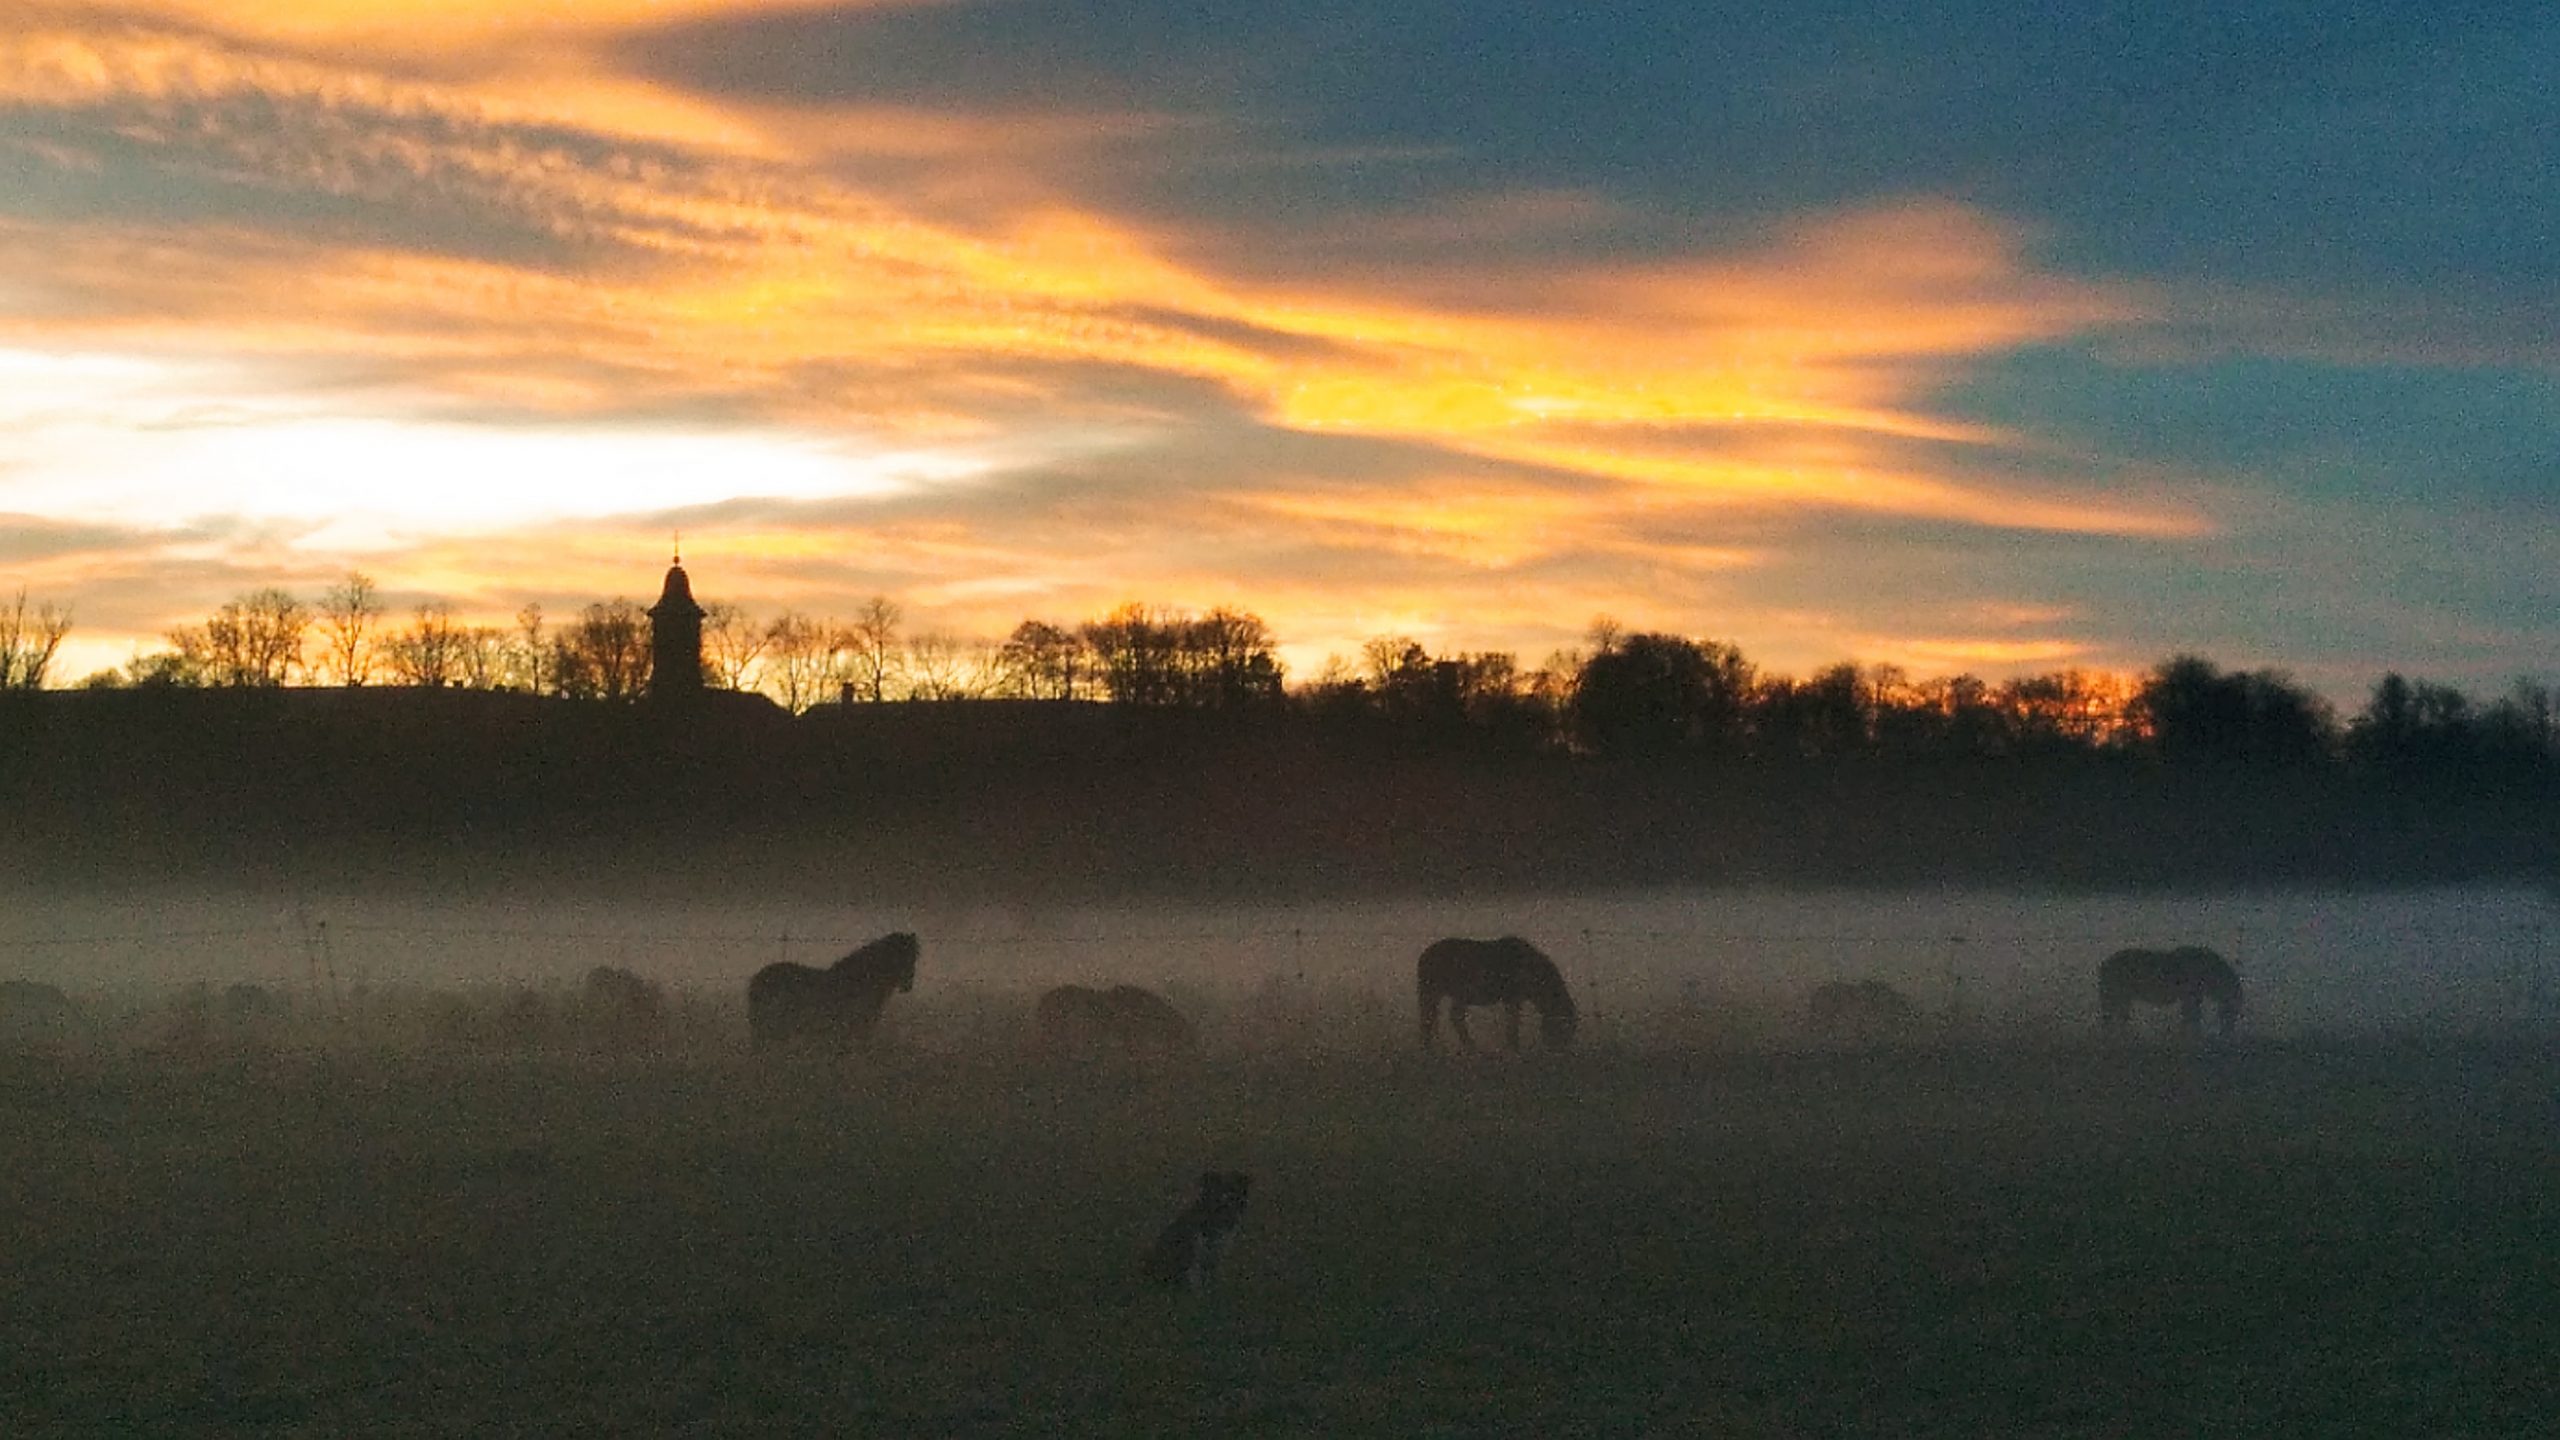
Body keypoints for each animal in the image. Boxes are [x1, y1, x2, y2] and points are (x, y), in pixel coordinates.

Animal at [1413, 937, 1566, 1050]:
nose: (1557, 1049)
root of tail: (1423, 957)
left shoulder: (1512, 1000)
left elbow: (1513, 1021)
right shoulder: (1512, 998)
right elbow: (1513, 1022)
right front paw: (1514, 1046)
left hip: (1441, 994)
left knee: (1436, 1017)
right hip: (1445, 992)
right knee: (1441, 1017)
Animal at [2099, 942, 2242, 1030]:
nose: (2230, 1028)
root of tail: (2105, 964)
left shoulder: (2192, 997)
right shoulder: (2190, 997)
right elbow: (2191, 1017)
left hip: (2122, 999)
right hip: (2114, 996)